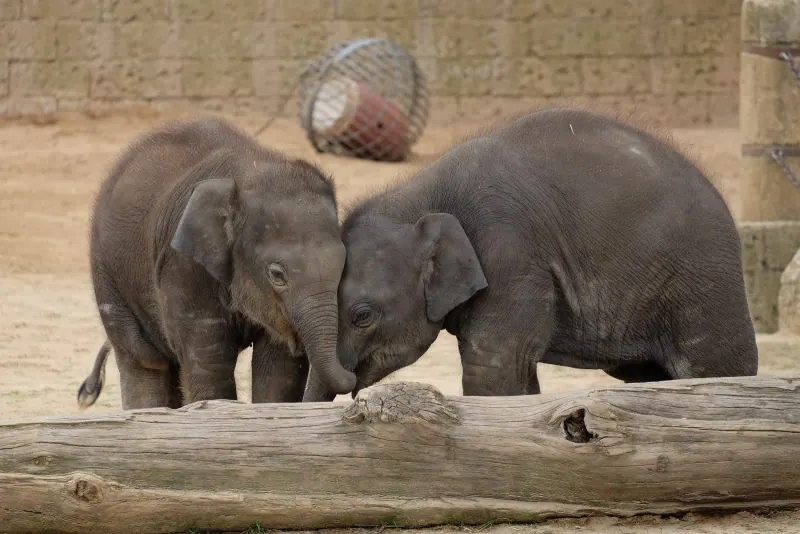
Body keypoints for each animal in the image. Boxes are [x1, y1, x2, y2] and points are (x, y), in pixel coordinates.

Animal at [77, 117, 355, 411]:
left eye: (343, 267)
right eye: (277, 274)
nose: (352, 375)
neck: (253, 169)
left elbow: (279, 370)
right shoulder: (183, 265)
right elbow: (209, 364)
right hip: (107, 273)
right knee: (143, 360)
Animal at [303, 107, 758, 401]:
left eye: (362, 316)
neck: (422, 192)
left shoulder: (510, 253)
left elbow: (494, 366)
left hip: (703, 282)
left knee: (719, 369)